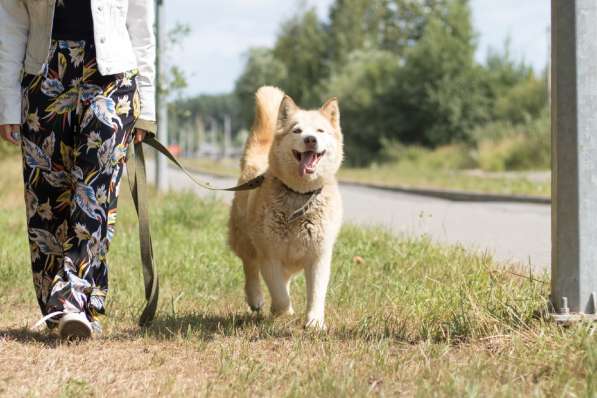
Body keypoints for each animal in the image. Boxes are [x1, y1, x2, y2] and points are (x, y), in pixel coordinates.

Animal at [228, 84, 342, 330]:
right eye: (297, 130)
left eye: (320, 130)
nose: (310, 139)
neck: (299, 195)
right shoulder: (268, 255)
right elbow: (279, 293)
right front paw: (283, 310)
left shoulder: (318, 256)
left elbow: (316, 293)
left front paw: (315, 322)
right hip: (244, 239)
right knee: (250, 267)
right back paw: (256, 297)